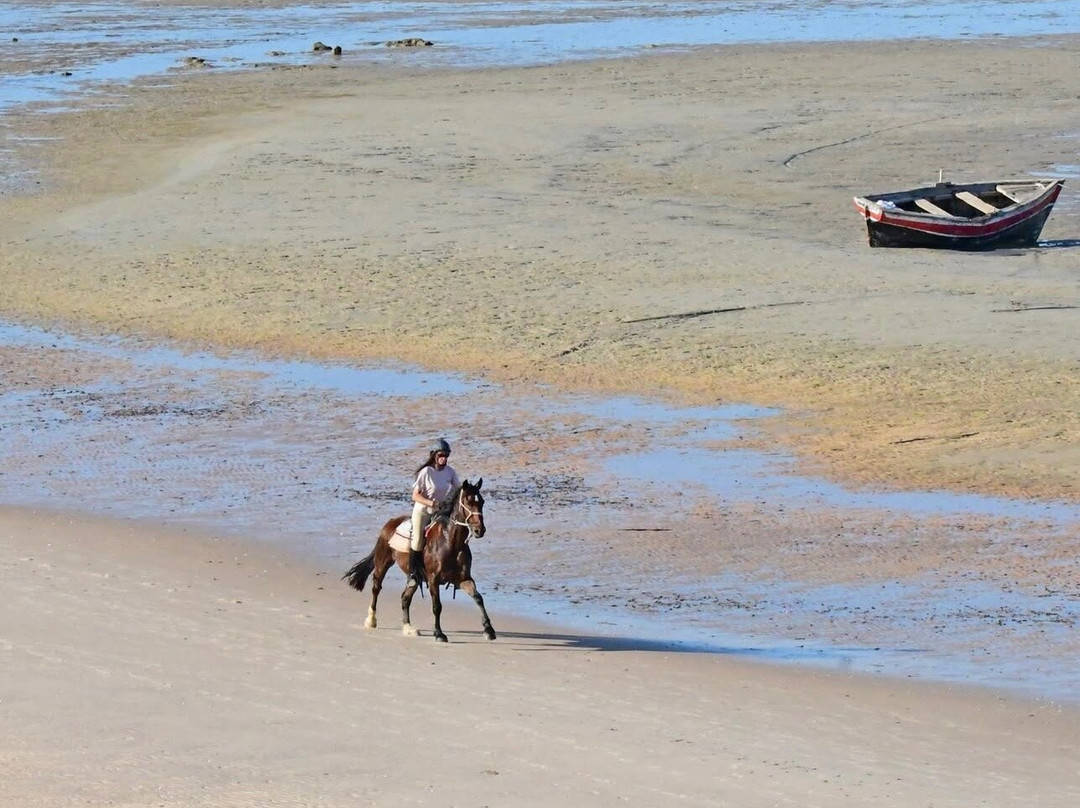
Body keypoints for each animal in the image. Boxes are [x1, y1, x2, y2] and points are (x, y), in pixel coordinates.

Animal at [341, 478, 496, 643]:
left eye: (482, 502)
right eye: (468, 502)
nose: (480, 530)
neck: (451, 543)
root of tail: (390, 523)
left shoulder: (462, 578)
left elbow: (478, 598)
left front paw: (489, 630)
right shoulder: (434, 579)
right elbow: (437, 606)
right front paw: (439, 633)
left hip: (415, 577)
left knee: (405, 597)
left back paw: (408, 628)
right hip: (382, 563)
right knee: (376, 588)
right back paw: (371, 620)